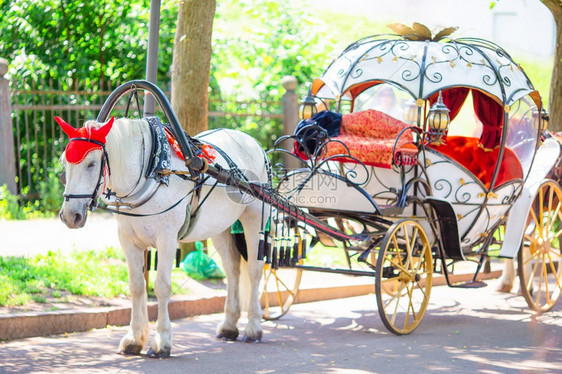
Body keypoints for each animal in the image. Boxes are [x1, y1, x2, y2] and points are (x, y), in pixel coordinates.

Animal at [55, 117, 268, 356]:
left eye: (91, 163)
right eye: (65, 163)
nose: (70, 215)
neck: (153, 170)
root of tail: (253, 143)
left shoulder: (167, 239)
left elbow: (162, 287)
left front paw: (162, 341)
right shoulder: (128, 241)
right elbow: (136, 286)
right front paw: (134, 338)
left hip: (255, 217)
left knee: (254, 270)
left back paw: (253, 327)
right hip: (220, 227)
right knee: (232, 269)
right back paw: (229, 325)